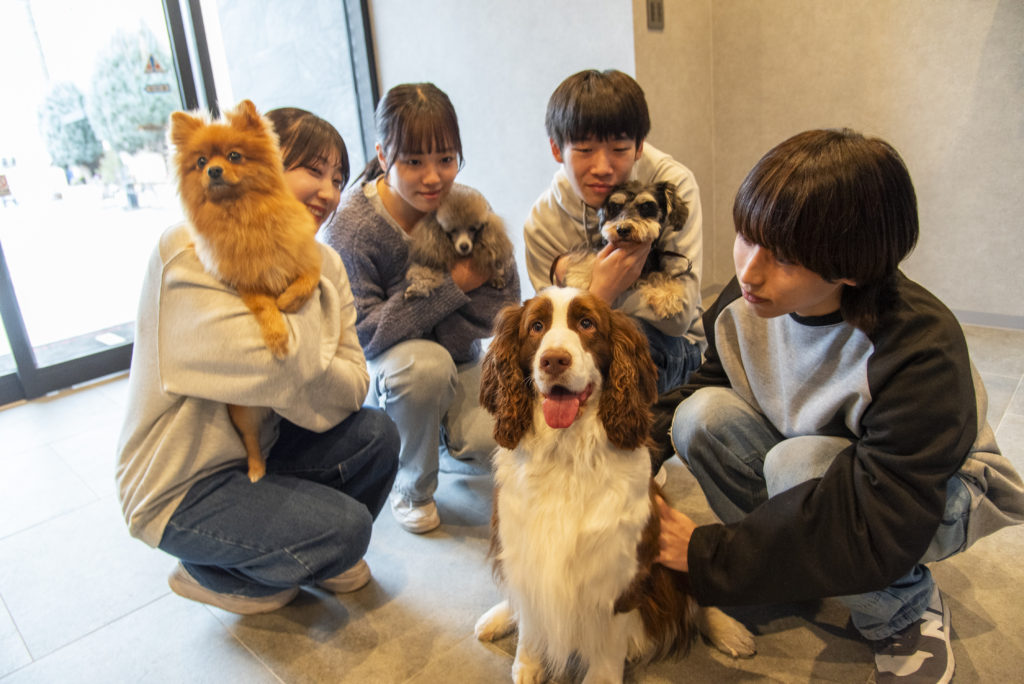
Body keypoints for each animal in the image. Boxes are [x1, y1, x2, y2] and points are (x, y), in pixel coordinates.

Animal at [169, 99, 321, 482]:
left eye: (234, 156)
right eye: (201, 162)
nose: (214, 171)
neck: (244, 215)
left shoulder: (306, 259)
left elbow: (306, 281)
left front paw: (289, 299)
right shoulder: (246, 284)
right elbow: (265, 306)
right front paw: (278, 338)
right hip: (245, 414)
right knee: (252, 442)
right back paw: (255, 470)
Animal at [474, 287, 755, 683]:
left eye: (587, 323)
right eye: (536, 327)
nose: (554, 360)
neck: (566, 455)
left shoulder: (619, 572)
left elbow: (608, 647)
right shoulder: (525, 548)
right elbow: (531, 619)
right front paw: (527, 664)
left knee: (694, 593)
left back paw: (730, 630)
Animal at [562, 180, 691, 319]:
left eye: (646, 206)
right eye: (616, 207)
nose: (622, 229)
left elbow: (659, 276)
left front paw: (667, 296)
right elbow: (590, 257)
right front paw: (579, 277)